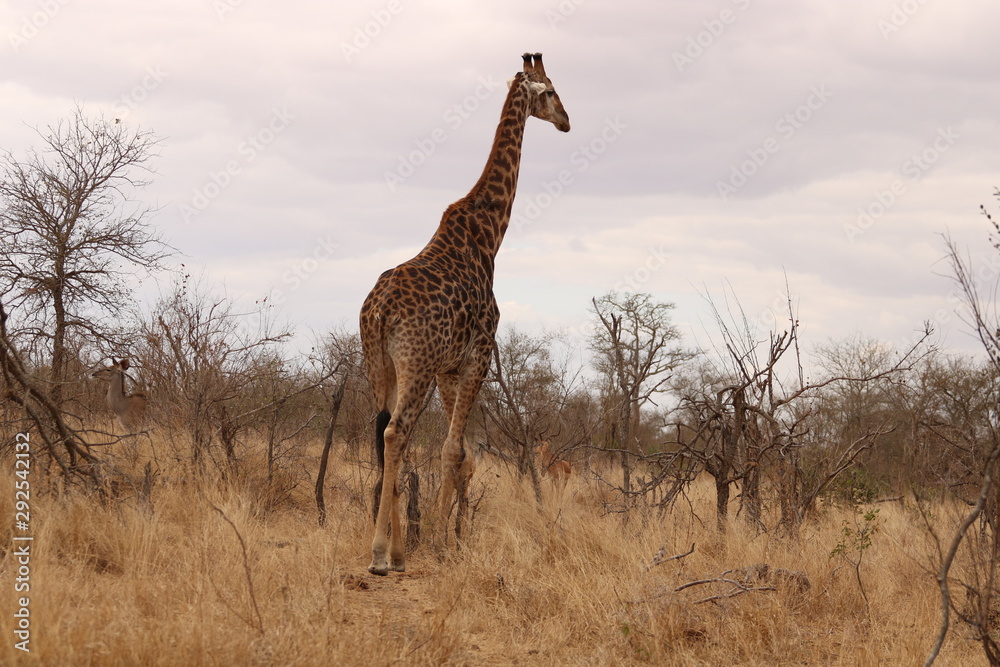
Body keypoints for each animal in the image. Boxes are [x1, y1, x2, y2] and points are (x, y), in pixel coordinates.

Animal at [360, 53, 570, 575]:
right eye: (551, 90)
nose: (566, 121)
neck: (490, 234)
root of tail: (379, 311)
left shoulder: (448, 369)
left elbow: (458, 455)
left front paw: (445, 536)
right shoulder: (479, 354)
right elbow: (455, 450)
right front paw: (440, 538)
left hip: (380, 366)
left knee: (383, 434)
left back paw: (395, 552)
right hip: (413, 365)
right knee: (395, 432)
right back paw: (380, 553)